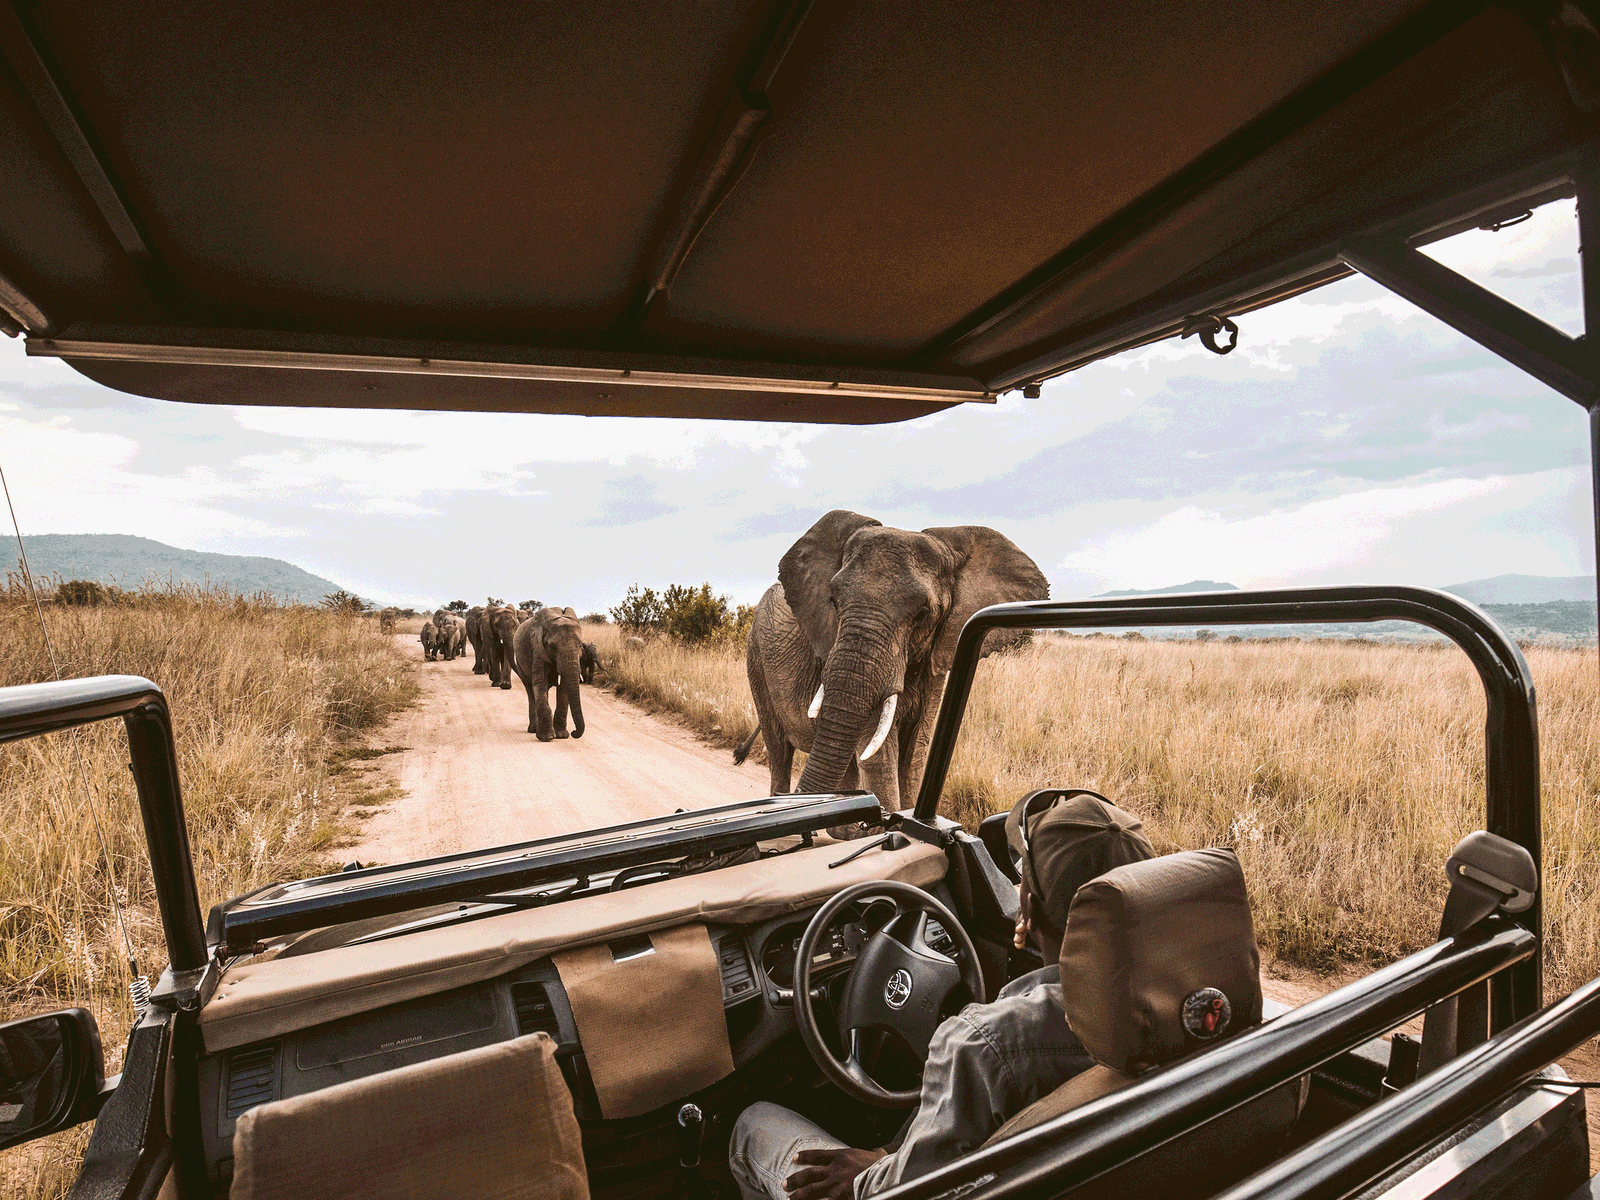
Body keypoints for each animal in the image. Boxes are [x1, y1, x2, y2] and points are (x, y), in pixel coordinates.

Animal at [512, 607, 587, 740]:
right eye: (552, 646)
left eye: (580, 646)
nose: (574, 733)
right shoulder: (537, 649)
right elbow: (540, 682)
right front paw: (546, 738)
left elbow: (563, 687)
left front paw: (562, 736)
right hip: (519, 663)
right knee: (530, 690)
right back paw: (533, 729)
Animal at [742, 510, 1047, 811]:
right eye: (833, 600)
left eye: (923, 613)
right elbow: (878, 759)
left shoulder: (936, 661)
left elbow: (915, 754)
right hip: (756, 657)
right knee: (779, 750)